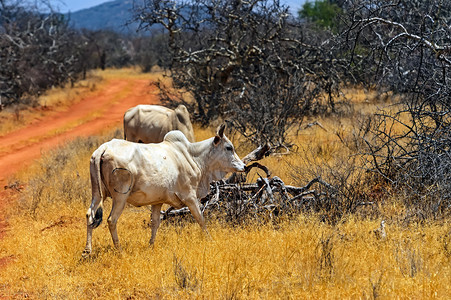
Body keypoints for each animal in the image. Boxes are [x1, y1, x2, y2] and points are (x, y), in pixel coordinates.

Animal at [81, 124, 244, 255]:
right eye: (229, 147)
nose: (244, 166)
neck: (192, 156)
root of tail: (103, 148)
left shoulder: (157, 202)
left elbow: (155, 223)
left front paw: (150, 245)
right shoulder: (190, 196)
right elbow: (200, 219)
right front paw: (209, 239)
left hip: (98, 194)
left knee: (90, 215)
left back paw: (87, 251)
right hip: (120, 197)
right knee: (111, 220)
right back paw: (119, 250)